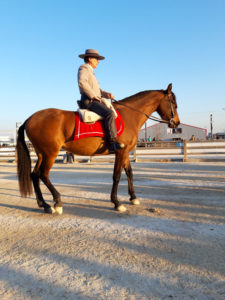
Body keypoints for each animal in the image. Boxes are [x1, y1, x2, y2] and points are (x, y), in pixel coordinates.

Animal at [16, 82, 180, 213]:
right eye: (174, 103)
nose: (177, 123)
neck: (129, 115)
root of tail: (30, 119)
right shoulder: (120, 152)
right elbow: (116, 176)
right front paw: (117, 203)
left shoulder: (126, 152)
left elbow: (129, 173)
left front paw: (133, 198)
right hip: (50, 153)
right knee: (43, 175)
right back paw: (57, 202)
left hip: (41, 154)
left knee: (35, 175)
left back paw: (44, 204)